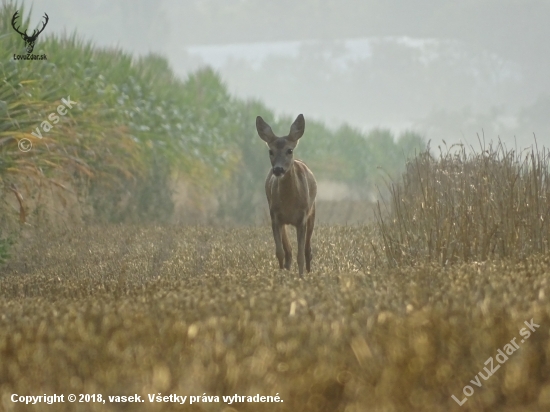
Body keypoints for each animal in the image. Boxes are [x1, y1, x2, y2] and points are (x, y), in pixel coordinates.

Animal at [256, 113, 316, 276]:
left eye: (289, 150)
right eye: (270, 151)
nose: (278, 169)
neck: (289, 203)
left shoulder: (302, 217)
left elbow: (300, 254)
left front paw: (301, 277)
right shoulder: (275, 217)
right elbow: (280, 252)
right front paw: (281, 276)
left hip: (312, 212)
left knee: (308, 250)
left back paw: (308, 272)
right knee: (288, 251)